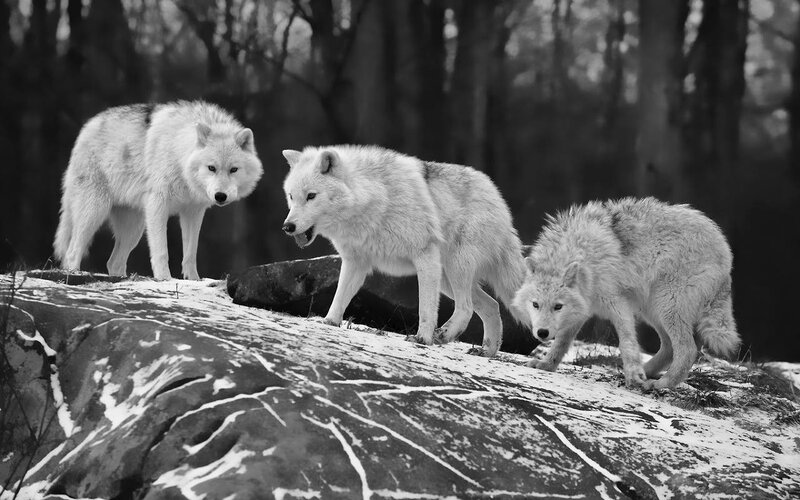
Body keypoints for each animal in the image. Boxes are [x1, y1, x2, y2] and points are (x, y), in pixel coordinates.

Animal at [54, 101, 263, 280]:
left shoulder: (193, 212)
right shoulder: (158, 205)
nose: (220, 196)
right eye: (211, 168)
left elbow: (190, 253)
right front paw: (164, 278)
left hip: (134, 229)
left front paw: (193, 280)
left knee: (113, 262)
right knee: (72, 252)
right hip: (95, 212)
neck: (179, 153)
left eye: (233, 169)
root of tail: (87, 126)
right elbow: (162, 251)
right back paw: (74, 274)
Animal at [280, 145, 530, 357]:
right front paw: (329, 323)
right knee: (492, 305)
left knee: (466, 308)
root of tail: (498, 198)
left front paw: (422, 339)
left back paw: (444, 336)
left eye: (311, 196)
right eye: (291, 196)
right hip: (447, 279)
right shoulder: (355, 263)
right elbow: (340, 297)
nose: (287, 227)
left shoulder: (424, 256)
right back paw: (486, 351)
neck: (374, 199)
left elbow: (425, 308)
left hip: (455, 268)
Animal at [513, 197, 739, 389]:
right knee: (671, 348)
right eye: (535, 305)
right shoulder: (582, 310)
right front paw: (546, 365)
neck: (585, 256)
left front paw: (634, 375)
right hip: (652, 310)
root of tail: (725, 250)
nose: (542, 333)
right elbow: (561, 343)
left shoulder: (618, 303)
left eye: (557, 306)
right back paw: (645, 373)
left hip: (665, 305)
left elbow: (627, 343)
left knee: (688, 350)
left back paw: (661, 384)